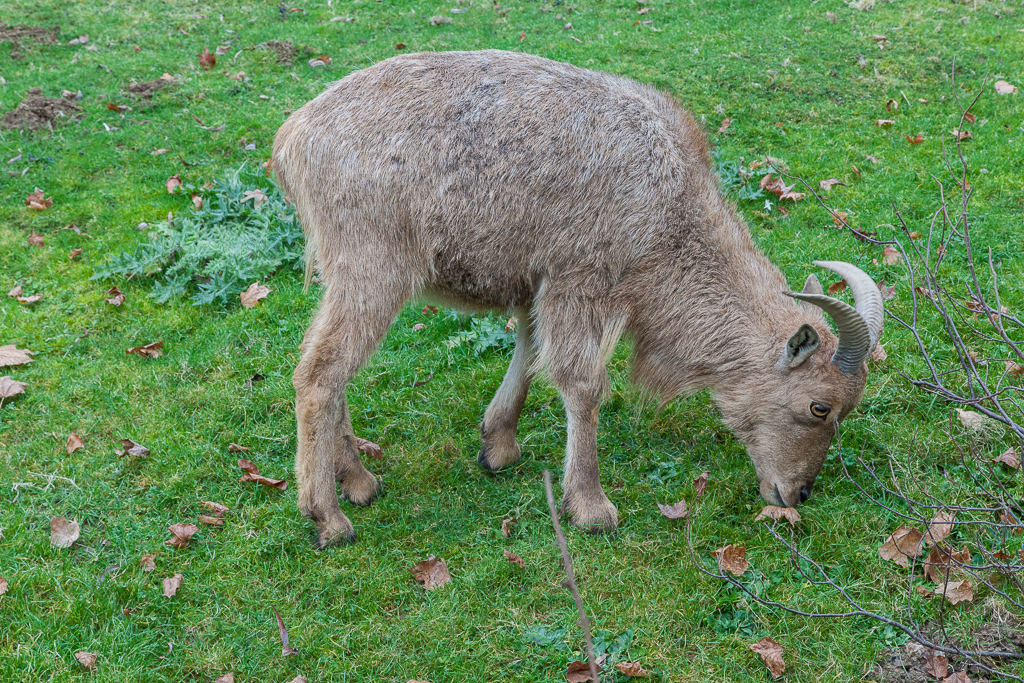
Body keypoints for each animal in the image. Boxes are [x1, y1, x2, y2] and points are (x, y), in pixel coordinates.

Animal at [271, 50, 884, 547]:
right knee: (320, 373)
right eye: (820, 406)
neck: (667, 209)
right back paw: (327, 516)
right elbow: (582, 385)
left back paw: (357, 479)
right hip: (375, 266)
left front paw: (498, 447)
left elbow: (528, 352)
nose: (796, 494)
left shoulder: (537, 283)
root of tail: (293, 138)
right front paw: (591, 507)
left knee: (329, 367)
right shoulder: (583, 280)